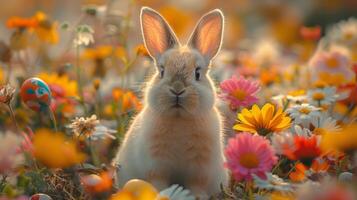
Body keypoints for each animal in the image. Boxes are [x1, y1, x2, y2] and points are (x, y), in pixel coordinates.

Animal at [112, 6, 227, 198]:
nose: (177, 89)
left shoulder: (199, 169)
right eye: (162, 71)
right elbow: (159, 182)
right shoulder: (157, 165)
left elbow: (197, 185)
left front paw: (197, 197)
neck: (179, 118)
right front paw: (162, 194)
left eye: (197, 73)